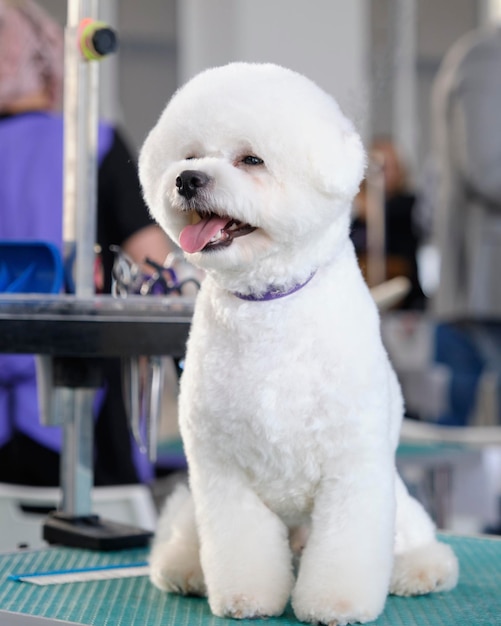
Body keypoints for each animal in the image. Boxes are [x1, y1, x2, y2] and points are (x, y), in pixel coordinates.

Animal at [139, 64, 458, 624]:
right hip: (195, 509)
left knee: (414, 538)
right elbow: (239, 547)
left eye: (251, 159)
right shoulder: (221, 471)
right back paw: (186, 569)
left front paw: (337, 604)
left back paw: (420, 570)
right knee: (187, 537)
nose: (187, 180)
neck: (269, 307)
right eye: (190, 155)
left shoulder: (353, 466)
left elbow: (346, 551)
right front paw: (245, 598)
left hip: (396, 500)